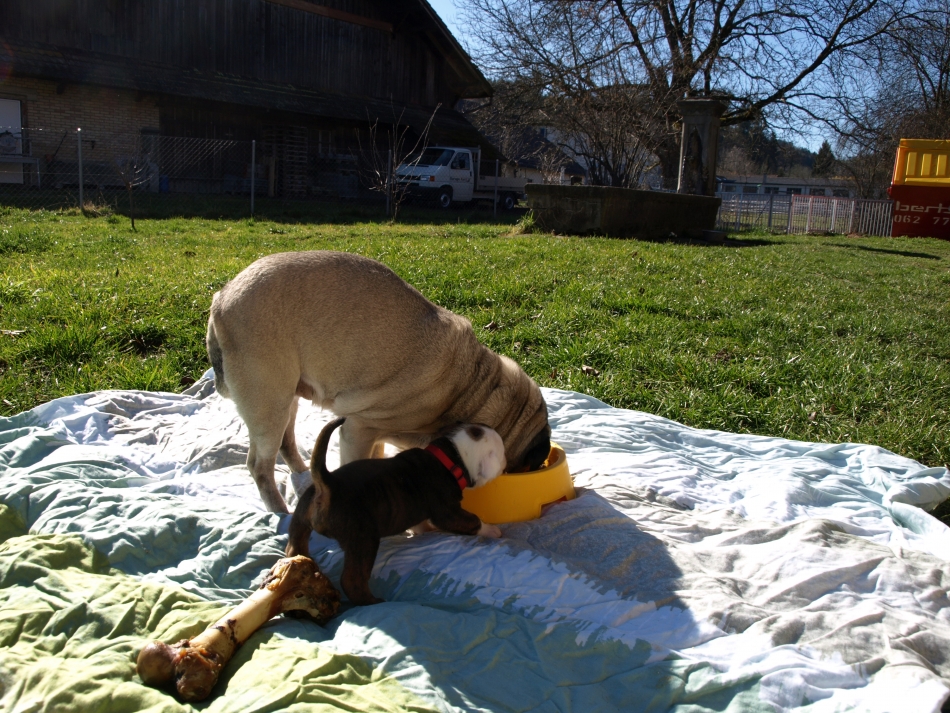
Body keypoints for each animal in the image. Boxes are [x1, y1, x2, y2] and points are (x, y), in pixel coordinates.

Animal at [208, 250, 552, 512]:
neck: (474, 387)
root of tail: (220, 298)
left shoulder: (373, 434)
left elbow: (378, 455)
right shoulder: (357, 431)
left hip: (287, 398)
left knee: (286, 441)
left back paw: (303, 475)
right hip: (269, 403)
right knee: (260, 465)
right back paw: (280, 513)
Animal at [288, 418, 506, 608]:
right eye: (502, 453)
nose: (505, 462)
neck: (451, 455)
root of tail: (327, 485)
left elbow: (420, 524)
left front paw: (426, 531)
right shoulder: (448, 512)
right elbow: (471, 521)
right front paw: (492, 531)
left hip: (300, 519)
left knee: (294, 548)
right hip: (363, 541)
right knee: (352, 580)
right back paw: (372, 601)